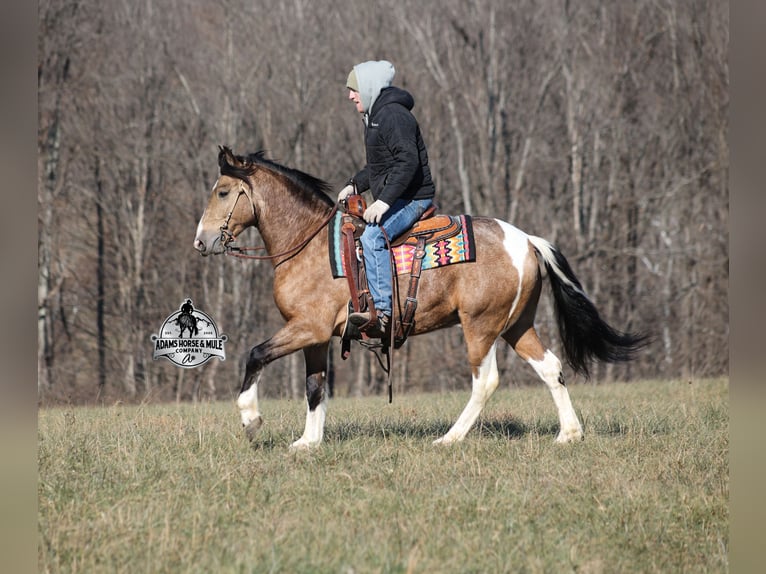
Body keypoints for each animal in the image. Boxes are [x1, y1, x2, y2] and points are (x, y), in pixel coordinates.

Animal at [193, 146, 647, 449]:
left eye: (222, 192)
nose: (201, 241)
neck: (309, 245)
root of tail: (525, 240)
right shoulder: (317, 336)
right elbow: (314, 387)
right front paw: (308, 443)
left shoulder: (307, 327)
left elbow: (256, 354)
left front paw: (251, 420)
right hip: (517, 325)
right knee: (551, 368)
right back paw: (569, 434)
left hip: (480, 326)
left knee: (485, 381)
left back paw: (449, 439)